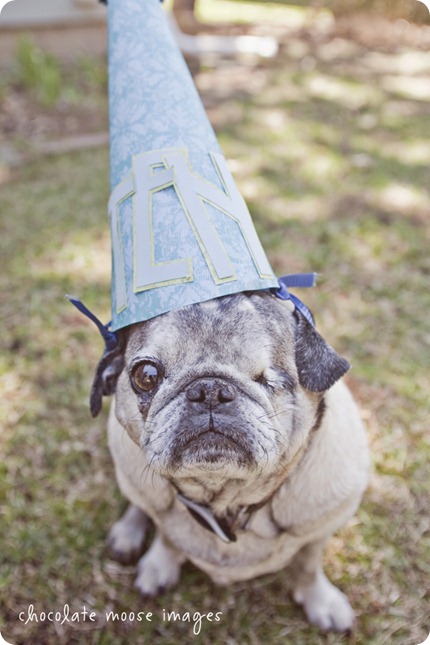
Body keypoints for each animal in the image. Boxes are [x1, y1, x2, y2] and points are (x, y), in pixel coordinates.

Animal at [91, 290, 370, 628]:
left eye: (270, 380)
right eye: (146, 376)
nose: (209, 388)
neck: (226, 501)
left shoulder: (319, 532)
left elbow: (307, 564)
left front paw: (319, 600)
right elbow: (168, 537)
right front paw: (160, 566)